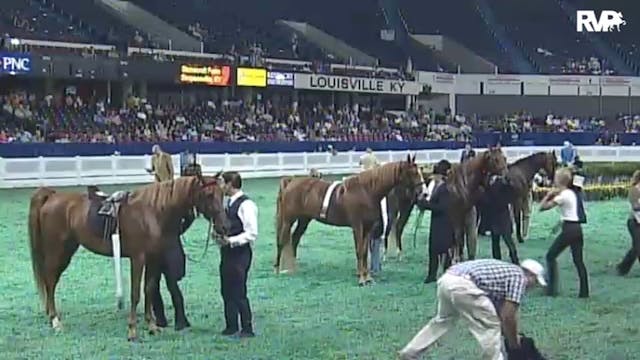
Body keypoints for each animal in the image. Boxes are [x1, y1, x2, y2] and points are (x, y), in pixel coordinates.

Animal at [27, 175, 228, 340]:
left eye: (222, 194)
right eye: (208, 195)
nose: (223, 227)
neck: (152, 212)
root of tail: (52, 196)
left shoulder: (153, 259)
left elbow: (149, 290)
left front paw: (152, 326)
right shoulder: (138, 258)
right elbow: (135, 293)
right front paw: (132, 331)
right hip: (58, 251)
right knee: (50, 282)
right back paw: (56, 321)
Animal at [274, 156, 428, 286]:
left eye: (420, 172)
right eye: (413, 172)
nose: (424, 193)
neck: (367, 191)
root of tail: (290, 182)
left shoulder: (367, 228)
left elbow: (365, 252)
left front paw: (368, 278)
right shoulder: (357, 226)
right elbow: (359, 250)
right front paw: (361, 279)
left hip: (304, 220)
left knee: (294, 240)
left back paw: (293, 268)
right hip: (288, 220)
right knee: (282, 241)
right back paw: (277, 269)